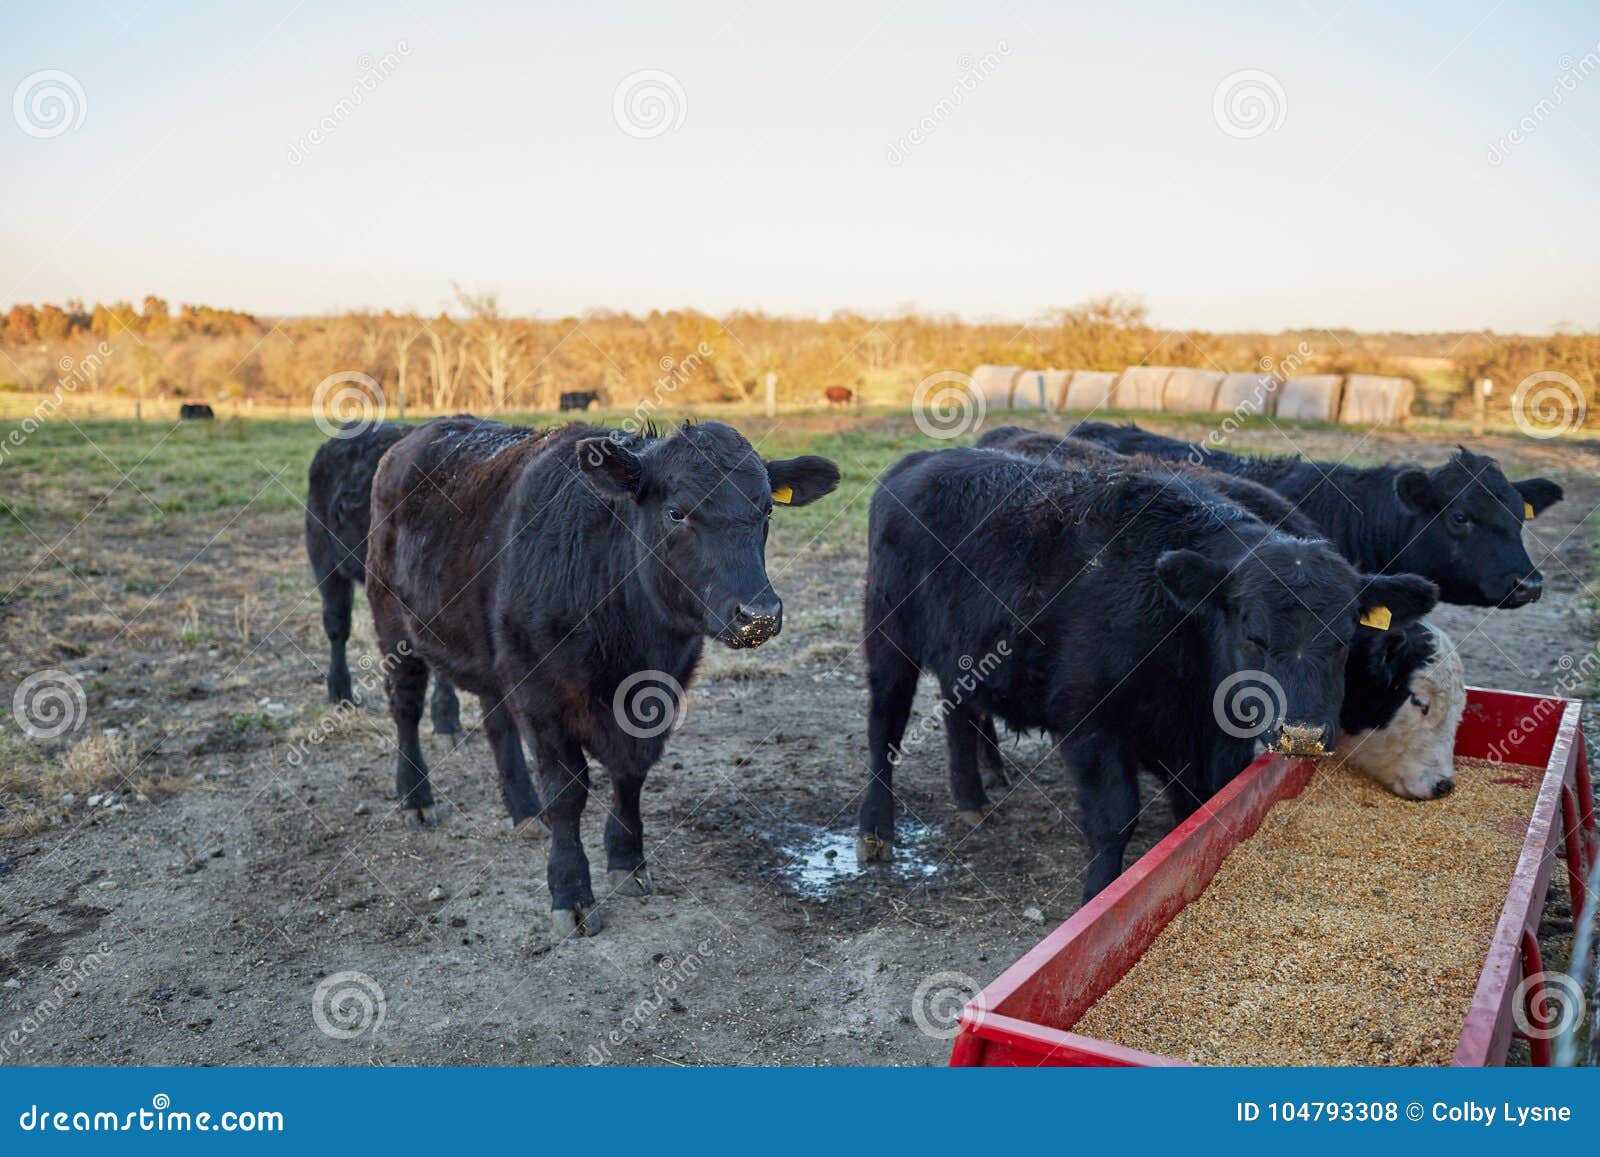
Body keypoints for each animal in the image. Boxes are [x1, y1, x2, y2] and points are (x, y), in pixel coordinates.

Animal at [367, 417, 841, 936]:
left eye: (766, 512)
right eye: (676, 513)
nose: (759, 615)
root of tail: (418, 436)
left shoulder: (657, 694)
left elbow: (631, 773)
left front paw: (627, 859)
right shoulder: (541, 695)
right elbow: (567, 791)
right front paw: (571, 891)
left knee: (496, 723)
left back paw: (524, 810)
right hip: (394, 626)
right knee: (406, 707)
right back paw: (417, 798)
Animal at [861, 446, 1437, 900]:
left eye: (1342, 637)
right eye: (1253, 633)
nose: (1304, 734)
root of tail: (920, 461)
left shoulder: (1200, 744)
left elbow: (1199, 813)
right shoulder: (1092, 722)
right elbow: (1116, 818)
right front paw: (1098, 896)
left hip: (961, 654)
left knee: (959, 714)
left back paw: (973, 799)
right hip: (888, 639)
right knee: (884, 725)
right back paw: (876, 831)